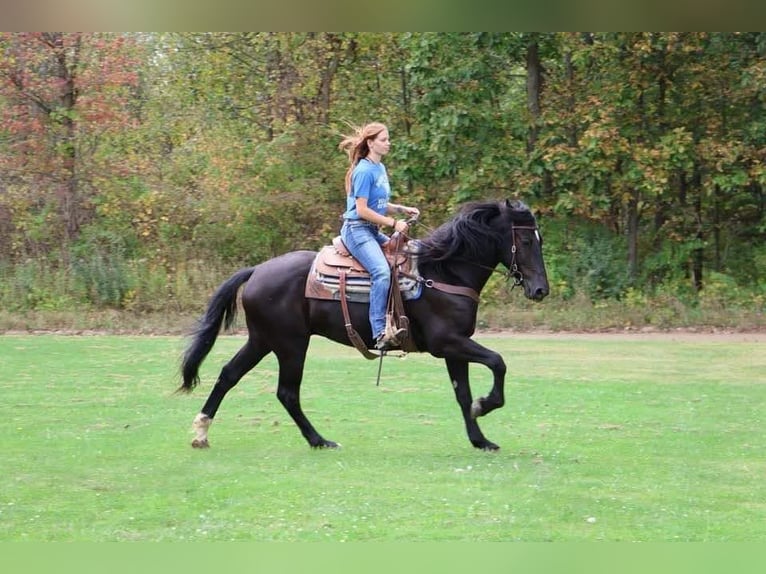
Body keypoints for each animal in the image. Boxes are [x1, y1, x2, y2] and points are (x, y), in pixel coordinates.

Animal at [178, 199, 549, 451]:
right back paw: (319, 440)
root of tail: (257, 270)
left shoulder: (455, 348)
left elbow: (462, 394)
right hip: (290, 344)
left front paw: (480, 438)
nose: (540, 290)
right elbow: (498, 362)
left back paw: (201, 432)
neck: (443, 272)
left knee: (228, 374)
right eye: (526, 241)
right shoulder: (448, 342)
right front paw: (486, 405)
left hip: (262, 340)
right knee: (287, 392)